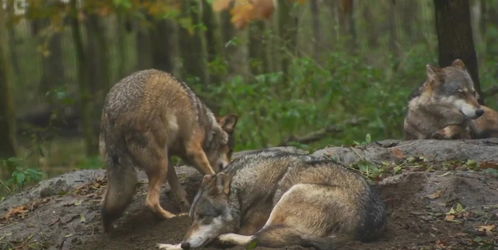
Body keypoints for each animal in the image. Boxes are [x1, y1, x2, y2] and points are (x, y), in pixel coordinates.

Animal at [100, 69, 238, 232]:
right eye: (230, 151)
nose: (228, 164)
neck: (206, 124)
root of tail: (113, 114)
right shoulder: (194, 150)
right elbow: (210, 173)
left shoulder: (170, 158)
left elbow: (178, 189)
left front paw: (186, 207)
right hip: (159, 166)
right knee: (150, 202)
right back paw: (170, 217)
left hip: (154, 166)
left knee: (107, 205)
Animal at [158, 149, 388, 249]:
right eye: (192, 218)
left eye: (203, 216)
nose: (186, 244)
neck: (241, 194)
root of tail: (359, 230)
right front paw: (176, 244)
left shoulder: (248, 225)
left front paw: (174, 245)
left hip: (292, 192)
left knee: (257, 238)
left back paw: (228, 239)